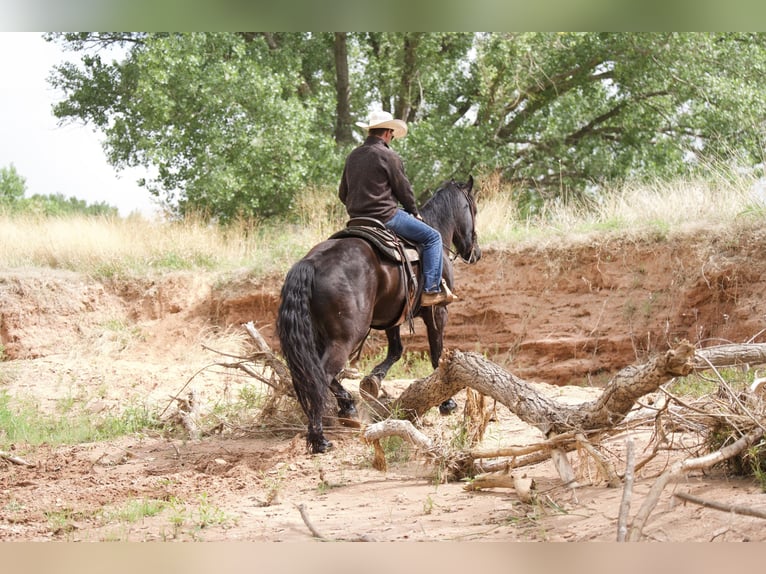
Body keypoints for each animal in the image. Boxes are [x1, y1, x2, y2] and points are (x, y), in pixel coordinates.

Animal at [276, 177, 484, 454]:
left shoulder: (392, 316)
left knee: (313, 374)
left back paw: (347, 408)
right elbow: (437, 354)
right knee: (319, 377)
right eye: (473, 209)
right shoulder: (438, 312)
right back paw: (319, 439)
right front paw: (447, 402)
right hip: (345, 337)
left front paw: (372, 381)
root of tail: (312, 262)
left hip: (319, 337)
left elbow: (396, 350)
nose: (476, 253)